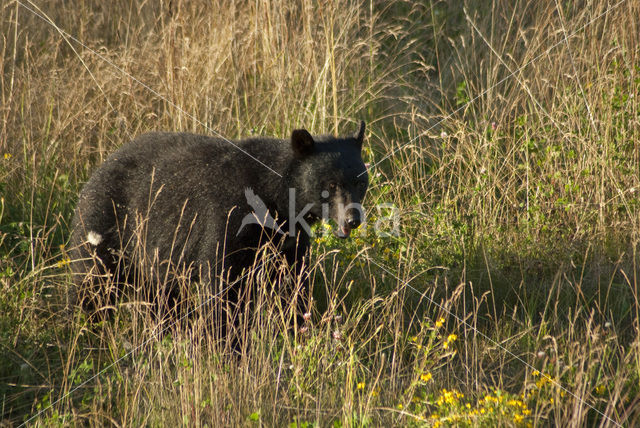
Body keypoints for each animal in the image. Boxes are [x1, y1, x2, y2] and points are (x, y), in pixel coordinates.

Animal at [70, 120, 368, 320]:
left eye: (360, 182)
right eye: (330, 184)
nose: (353, 219)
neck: (275, 199)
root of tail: (97, 169)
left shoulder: (288, 238)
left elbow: (293, 280)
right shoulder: (227, 217)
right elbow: (221, 280)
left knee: (159, 295)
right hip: (106, 223)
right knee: (90, 282)